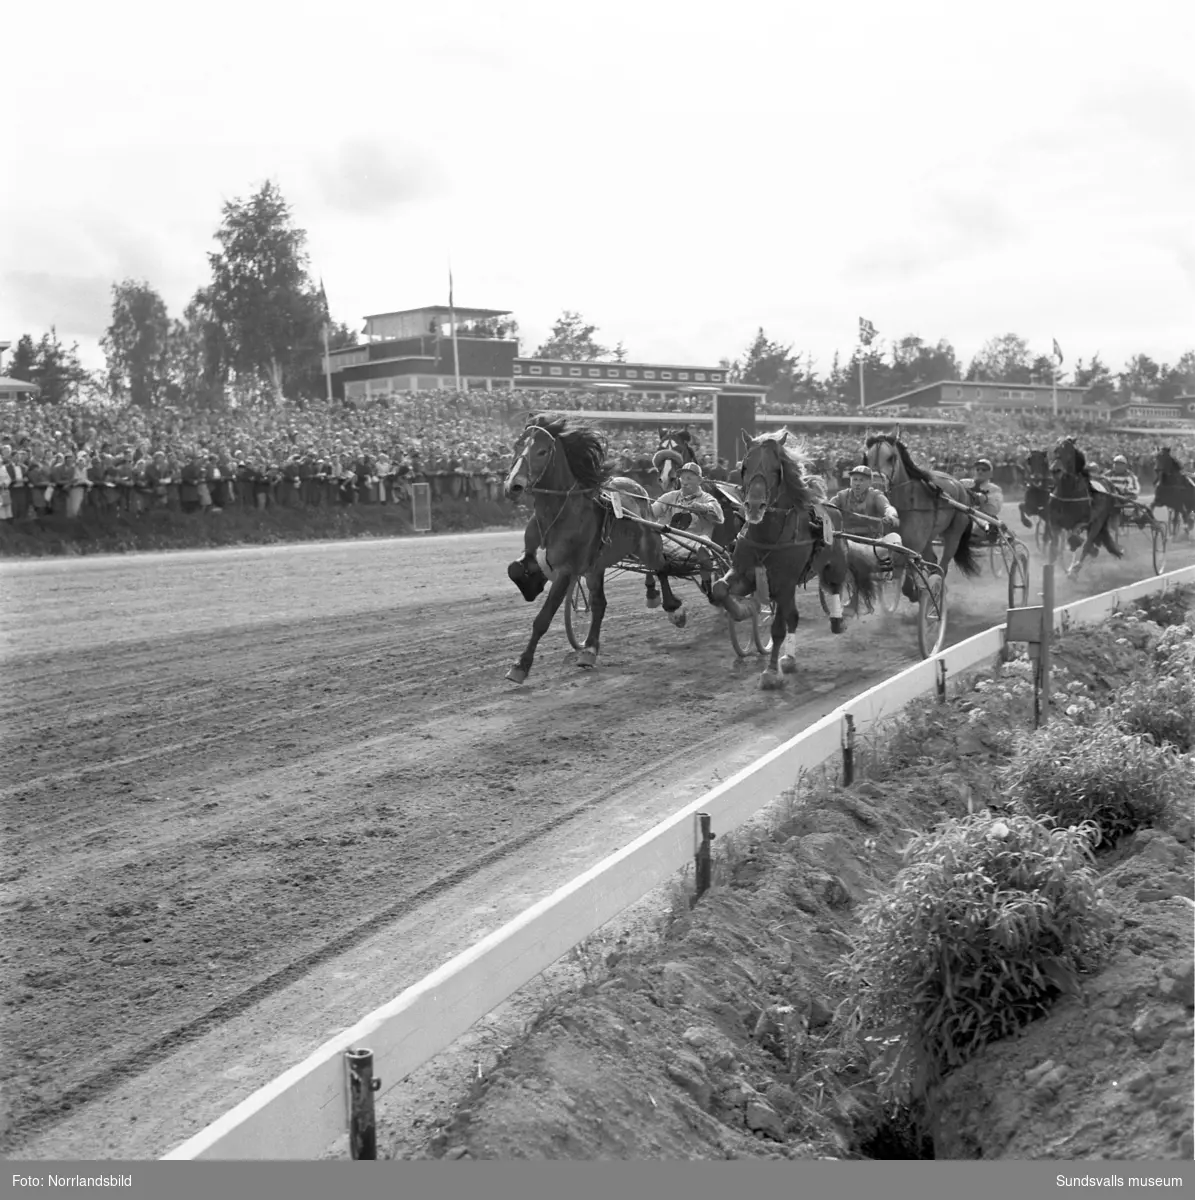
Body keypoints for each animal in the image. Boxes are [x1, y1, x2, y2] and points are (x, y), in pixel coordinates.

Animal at [501, 415, 686, 686]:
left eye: (542, 451)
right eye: (516, 446)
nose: (513, 486)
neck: (558, 515)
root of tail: (637, 487)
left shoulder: (567, 571)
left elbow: (543, 618)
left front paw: (521, 665)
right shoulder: (538, 552)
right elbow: (515, 568)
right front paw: (530, 586)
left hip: (648, 544)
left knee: (660, 567)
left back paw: (672, 607)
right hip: (596, 565)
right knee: (600, 603)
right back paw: (589, 649)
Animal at [710, 432, 878, 696]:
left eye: (775, 468)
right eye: (745, 466)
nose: (754, 506)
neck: (767, 536)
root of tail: (831, 507)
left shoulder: (784, 584)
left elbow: (778, 628)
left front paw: (770, 673)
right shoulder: (744, 573)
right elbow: (719, 589)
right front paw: (743, 610)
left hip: (834, 563)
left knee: (833, 587)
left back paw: (838, 620)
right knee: (794, 617)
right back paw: (789, 659)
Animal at [863, 434, 983, 604]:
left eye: (891, 458)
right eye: (867, 457)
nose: (877, 485)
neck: (905, 504)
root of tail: (961, 485)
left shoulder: (915, 543)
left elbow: (908, 573)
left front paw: (915, 591)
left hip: (954, 533)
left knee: (943, 565)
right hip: (929, 536)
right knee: (932, 560)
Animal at [1046, 436, 1118, 580]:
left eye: (1069, 452)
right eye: (1055, 450)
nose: (1055, 470)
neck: (1068, 493)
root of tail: (1108, 483)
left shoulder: (1084, 521)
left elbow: (1076, 540)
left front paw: (1073, 569)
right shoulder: (1054, 523)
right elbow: (1055, 547)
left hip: (1098, 522)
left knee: (1088, 544)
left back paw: (1076, 569)